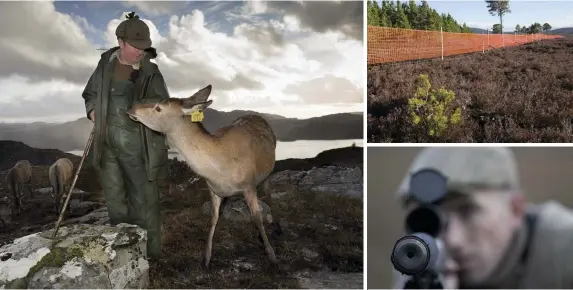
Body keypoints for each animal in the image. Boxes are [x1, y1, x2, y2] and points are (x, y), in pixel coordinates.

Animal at [125, 83, 278, 268]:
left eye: (158, 108)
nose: (131, 108)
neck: (220, 170)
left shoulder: (249, 185)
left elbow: (256, 217)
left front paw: (271, 254)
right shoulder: (213, 189)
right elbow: (213, 218)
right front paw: (206, 258)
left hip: (269, 170)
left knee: (268, 192)